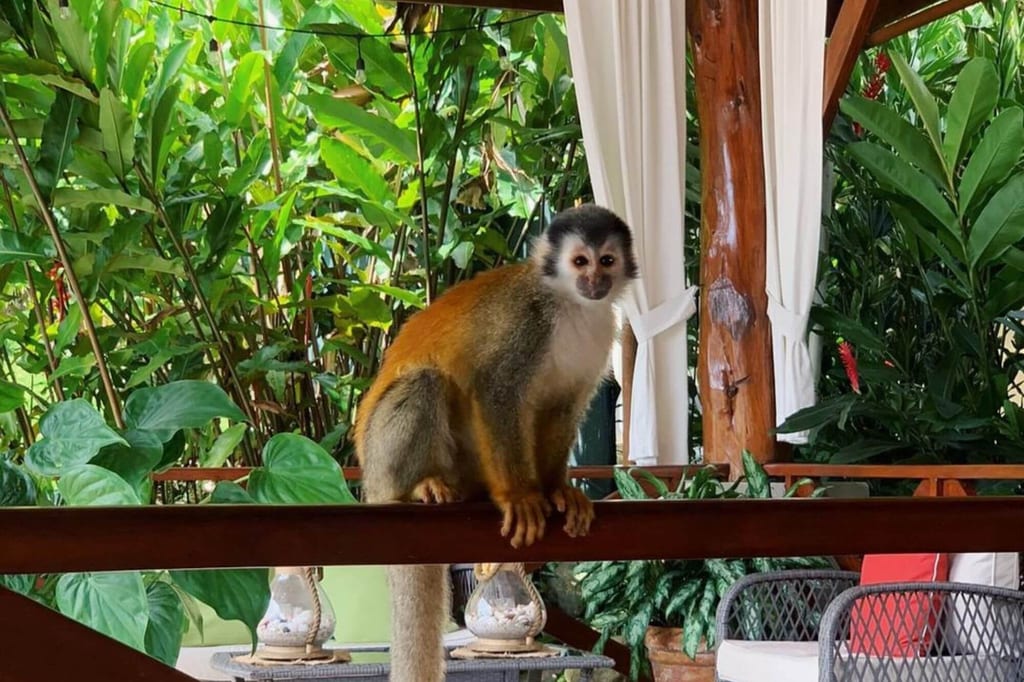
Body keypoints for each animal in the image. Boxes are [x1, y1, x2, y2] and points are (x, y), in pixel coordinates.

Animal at [353, 204, 639, 682]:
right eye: (580, 261)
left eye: (607, 261)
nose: (594, 282)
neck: (570, 304)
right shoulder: (528, 321)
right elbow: (496, 389)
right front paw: (520, 496)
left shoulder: (601, 330)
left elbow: (564, 406)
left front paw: (556, 489)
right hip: (378, 457)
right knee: (425, 381)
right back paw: (416, 487)